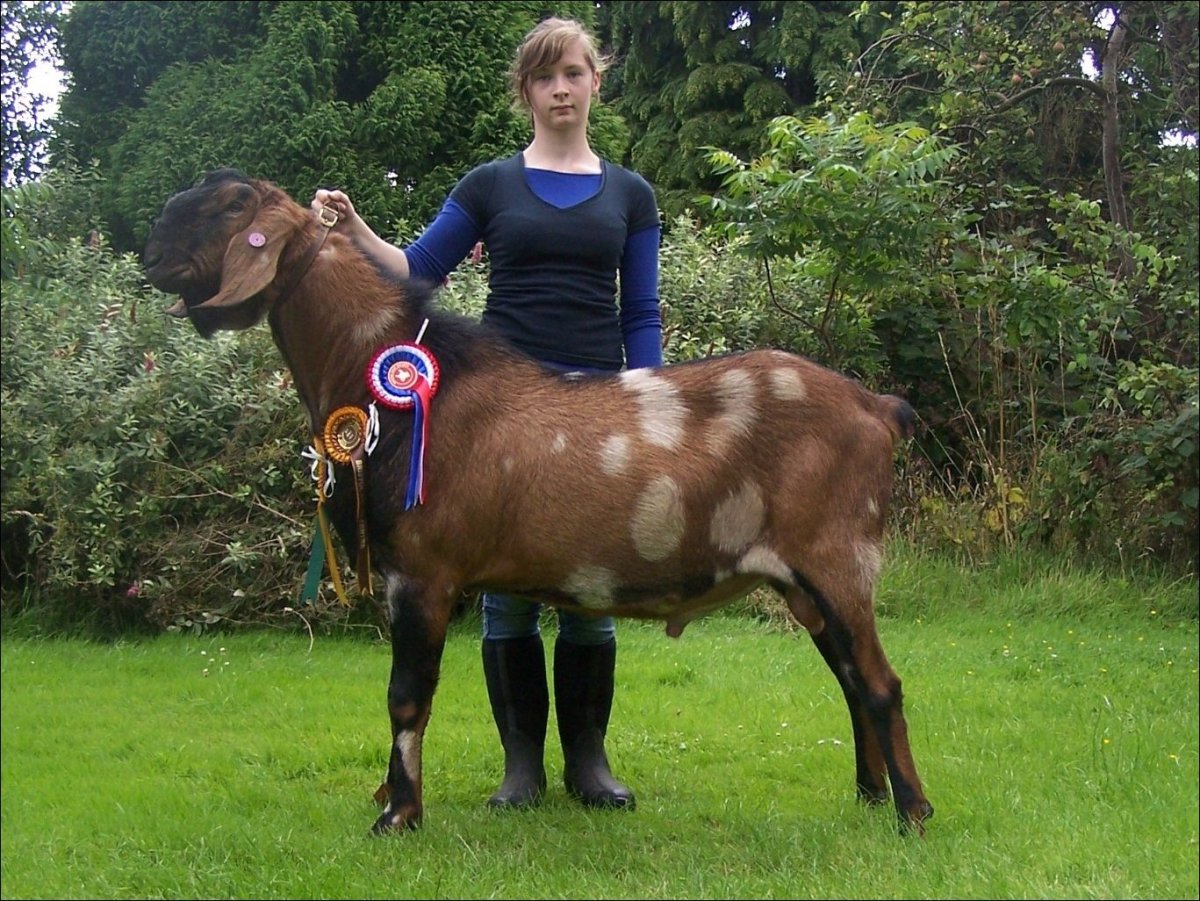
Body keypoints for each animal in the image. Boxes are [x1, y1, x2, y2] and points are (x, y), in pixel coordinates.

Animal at [143, 168, 933, 835]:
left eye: (228, 204)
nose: (148, 249)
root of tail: (879, 408)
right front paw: (392, 798)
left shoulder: (420, 573)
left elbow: (406, 693)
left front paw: (398, 815)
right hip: (803, 582)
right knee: (850, 677)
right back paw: (869, 796)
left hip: (837, 557)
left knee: (881, 682)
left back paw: (912, 814)